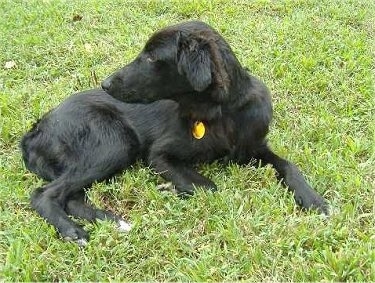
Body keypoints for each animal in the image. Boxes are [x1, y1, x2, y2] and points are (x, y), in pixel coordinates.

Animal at [21, 20, 328, 246]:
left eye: (151, 56)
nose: (105, 83)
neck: (220, 112)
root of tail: (36, 130)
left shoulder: (254, 146)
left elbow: (289, 166)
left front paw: (314, 200)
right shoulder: (158, 155)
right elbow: (209, 187)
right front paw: (169, 187)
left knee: (70, 197)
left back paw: (111, 220)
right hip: (116, 142)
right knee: (44, 194)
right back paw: (73, 231)